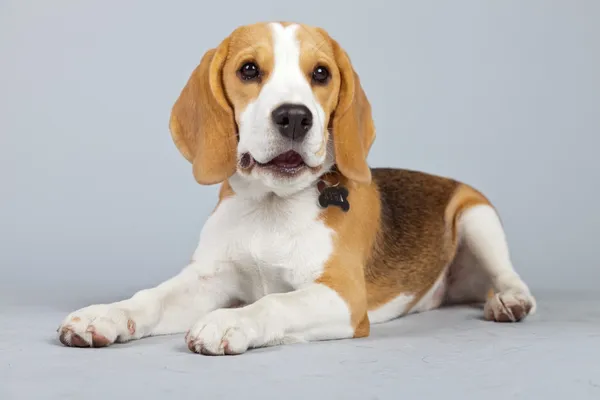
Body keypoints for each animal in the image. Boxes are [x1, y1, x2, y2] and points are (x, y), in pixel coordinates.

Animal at [56, 21, 536, 356]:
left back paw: (508, 300)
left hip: (477, 215)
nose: (293, 117)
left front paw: (228, 321)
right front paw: (106, 315)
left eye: (321, 74)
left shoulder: (343, 297)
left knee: (508, 274)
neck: (270, 207)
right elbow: (150, 297)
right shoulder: (208, 278)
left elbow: (274, 303)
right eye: (249, 69)